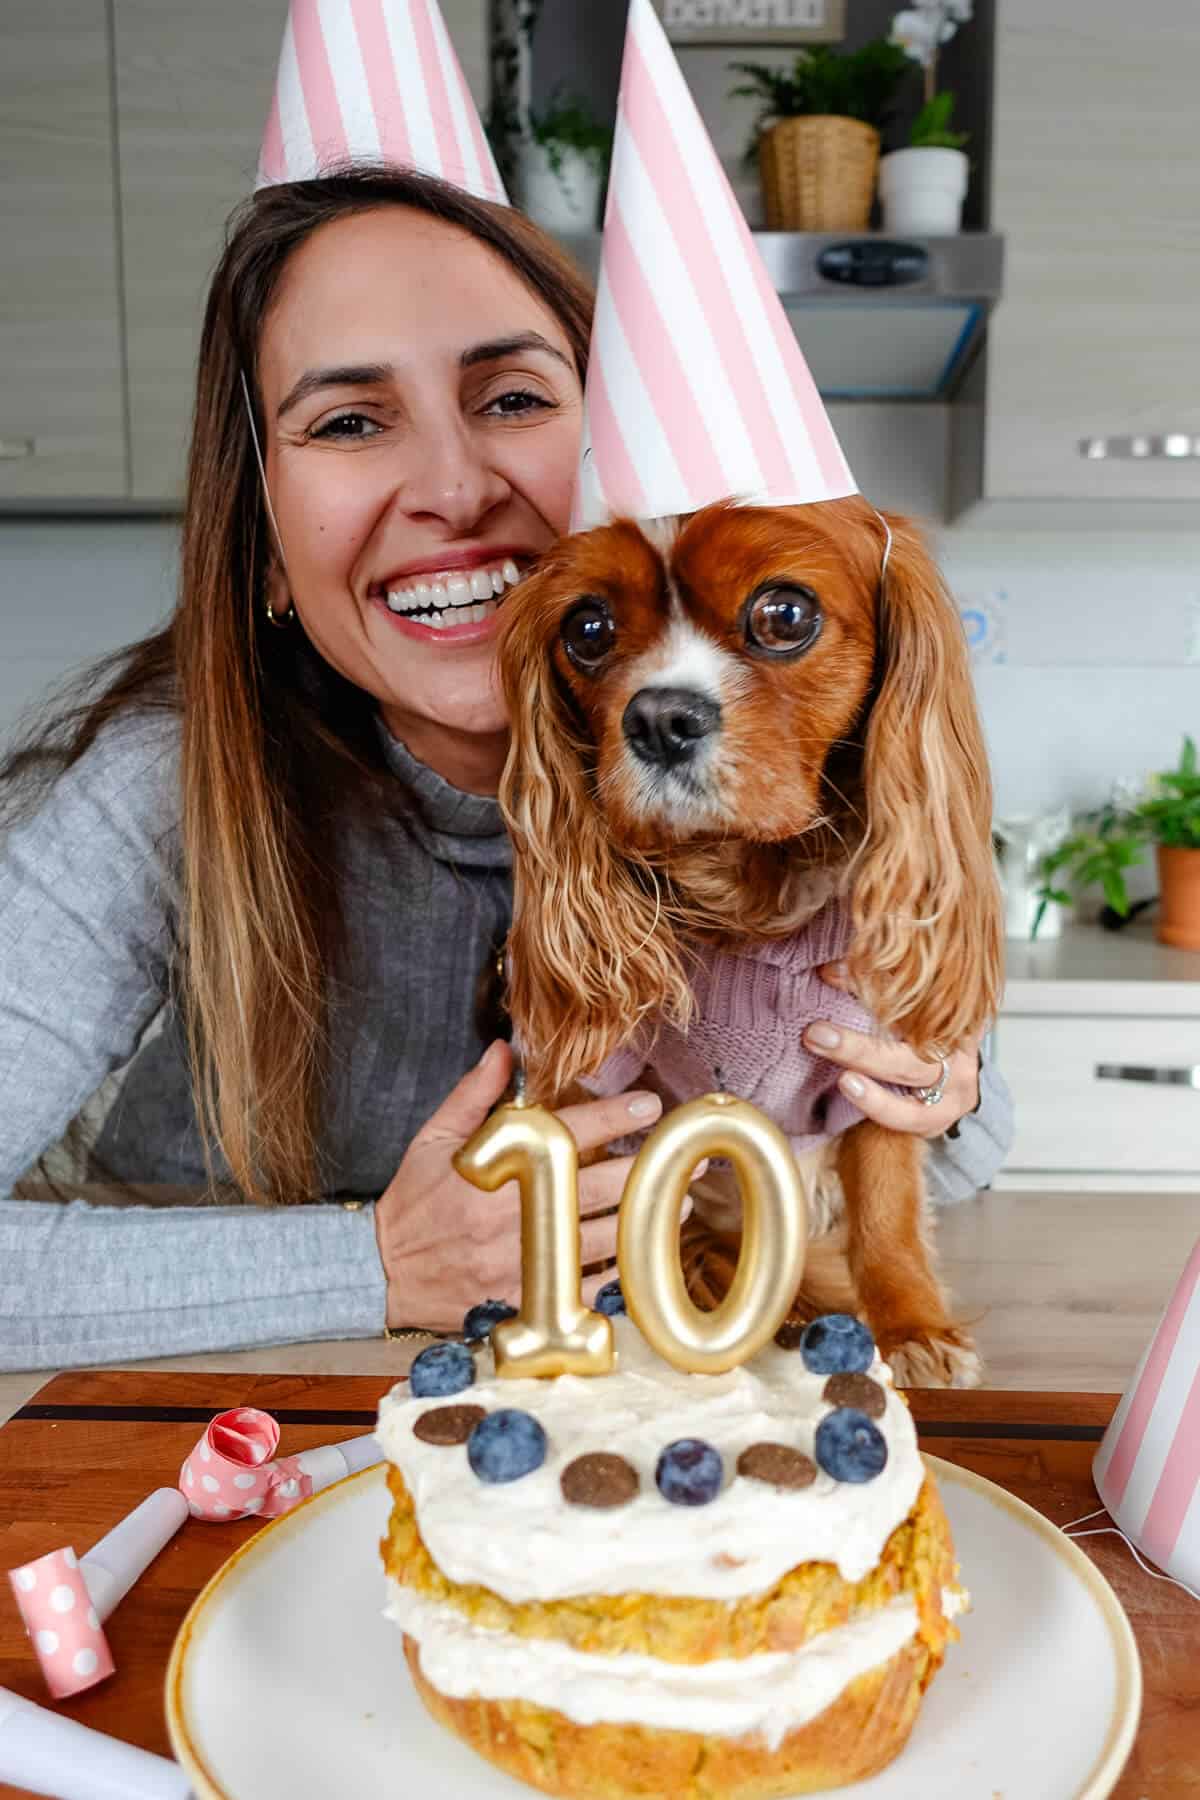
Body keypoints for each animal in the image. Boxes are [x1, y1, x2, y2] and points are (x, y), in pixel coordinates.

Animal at [496, 486, 1007, 1382]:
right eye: (587, 629)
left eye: (784, 613)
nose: (659, 717)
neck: (748, 895)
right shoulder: (591, 1090)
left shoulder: (877, 1070)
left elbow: (887, 1208)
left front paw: (913, 1326)